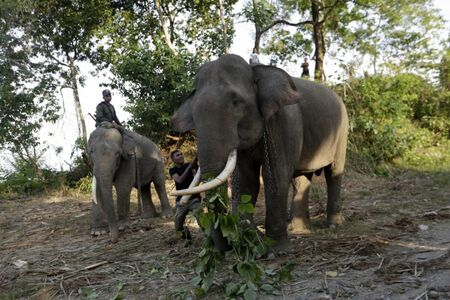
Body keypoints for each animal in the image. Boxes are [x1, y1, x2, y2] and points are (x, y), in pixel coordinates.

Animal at [171, 53, 350, 251]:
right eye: (193, 113)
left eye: (236, 102)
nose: (228, 246)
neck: (256, 69)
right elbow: (246, 181)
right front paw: (250, 242)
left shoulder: (283, 121)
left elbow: (276, 177)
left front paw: (275, 249)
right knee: (301, 178)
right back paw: (299, 229)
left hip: (342, 131)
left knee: (334, 172)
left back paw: (333, 225)